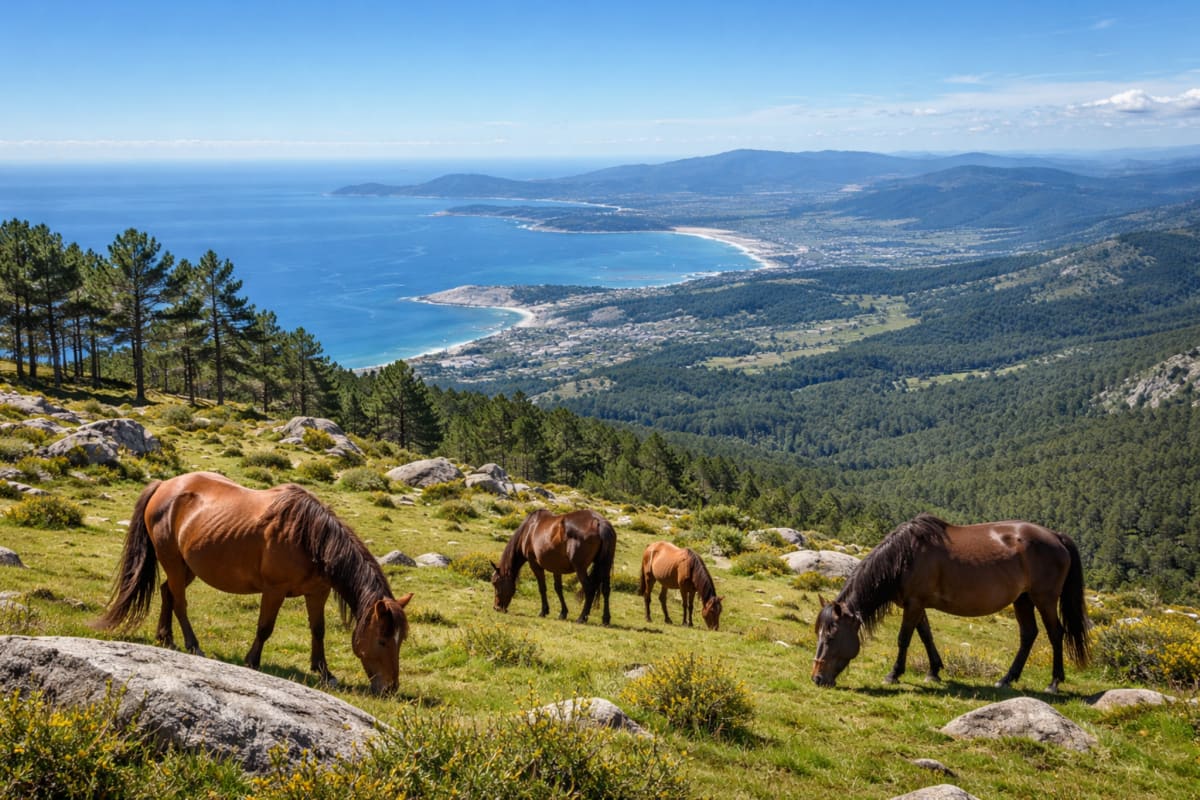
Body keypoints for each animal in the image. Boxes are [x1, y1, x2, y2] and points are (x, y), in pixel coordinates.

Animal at [93, 471, 413, 693]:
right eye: (383, 640)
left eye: (401, 641)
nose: (390, 688)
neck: (309, 537)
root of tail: (163, 486)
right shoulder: (274, 590)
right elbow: (265, 628)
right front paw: (252, 661)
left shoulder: (317, 593)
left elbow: (318, 631)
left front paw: (324, 672)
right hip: (171, 560)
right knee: (180, 602)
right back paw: (193, 645)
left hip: (187, 566)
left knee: (168, 593)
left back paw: (166, 638)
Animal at [812, 513, 1090, 693]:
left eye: (831, 637)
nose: (817, 678)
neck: (904, 556)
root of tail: (1056, 536)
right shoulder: (917, 605)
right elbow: (926, 635)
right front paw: (933, 671)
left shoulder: (914, 604)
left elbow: (904, 639)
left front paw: (893, 674)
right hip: (1022, 600)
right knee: (1028, 634)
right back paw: (1006, 679)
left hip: (1044, 598)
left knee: (1056, 634)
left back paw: (1054, 683)